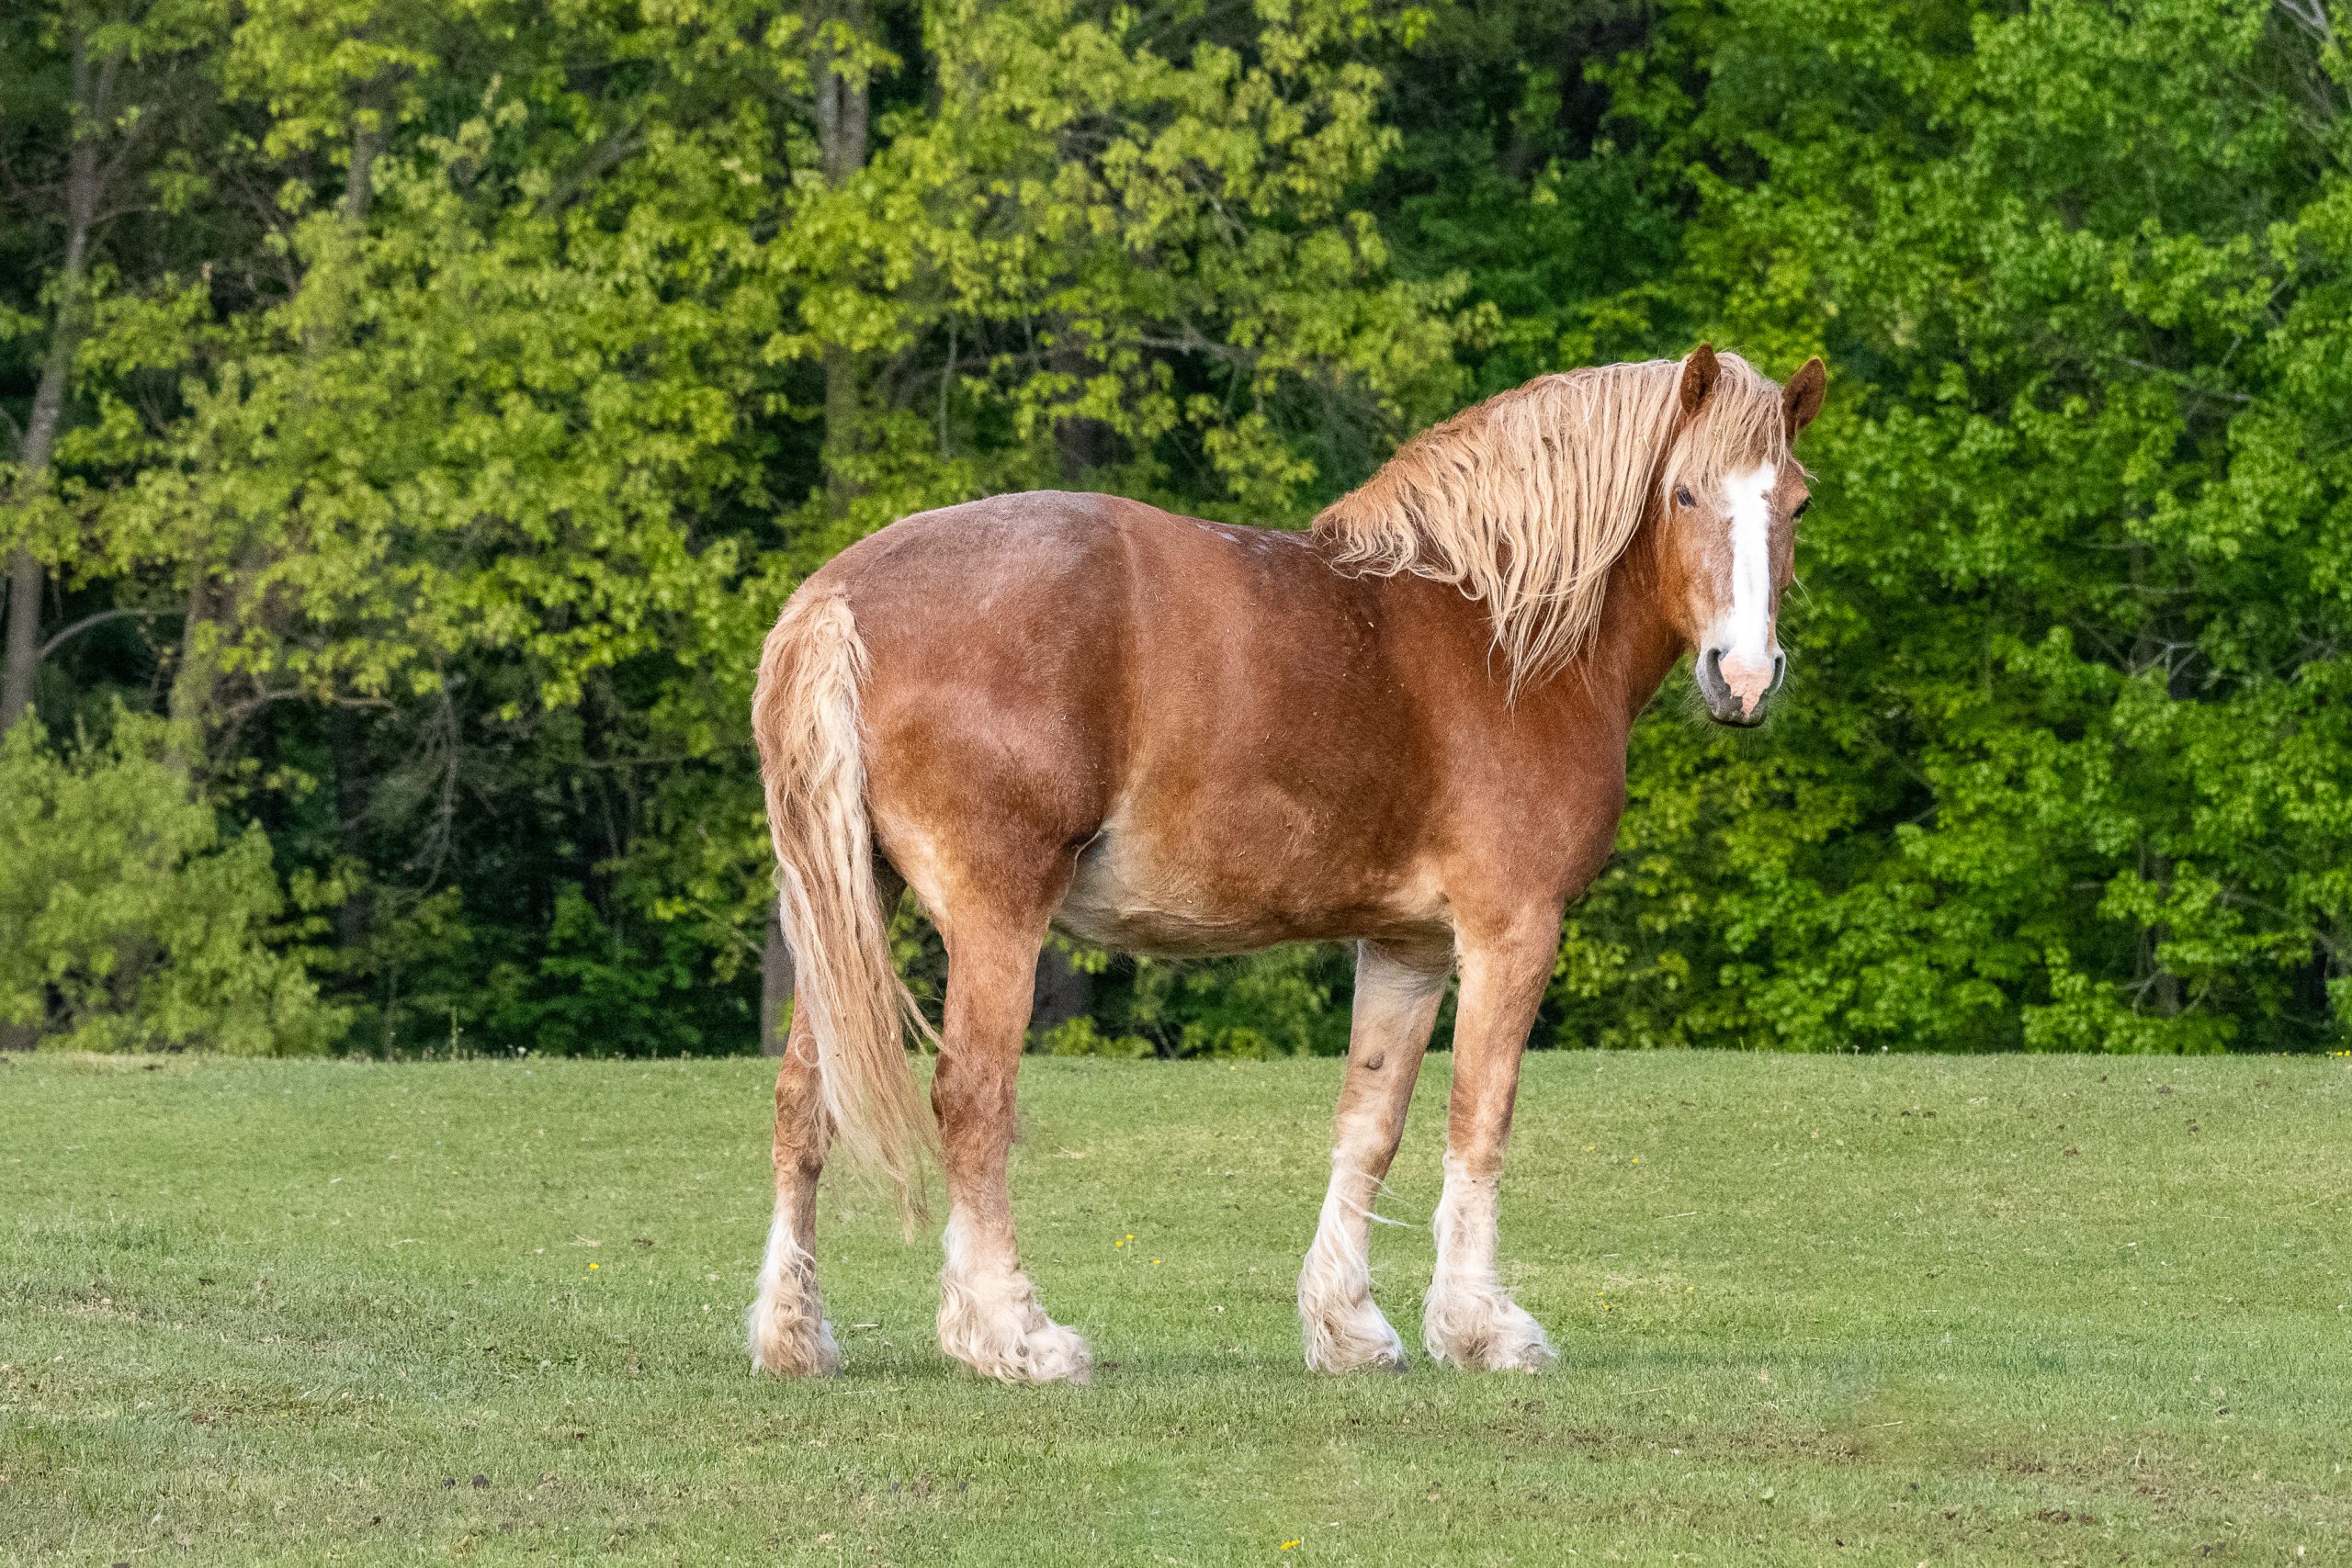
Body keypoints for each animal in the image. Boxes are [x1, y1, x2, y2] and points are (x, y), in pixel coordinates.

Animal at [748, 344, 1826, 1383]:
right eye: (1683, 494)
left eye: (1797, 501)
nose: (1743, 676)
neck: (1499, 631)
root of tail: (840, 593)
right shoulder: (1511, 930)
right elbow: (1480, 1118)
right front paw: (1483, 1329)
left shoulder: (1408, 945)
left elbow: (1370, 1124)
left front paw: (1349, 1326)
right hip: (996, 915)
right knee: (972, 1098)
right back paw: (1013, 1337)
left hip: (849, 904)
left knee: (803, 1102)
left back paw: (795, 1336)